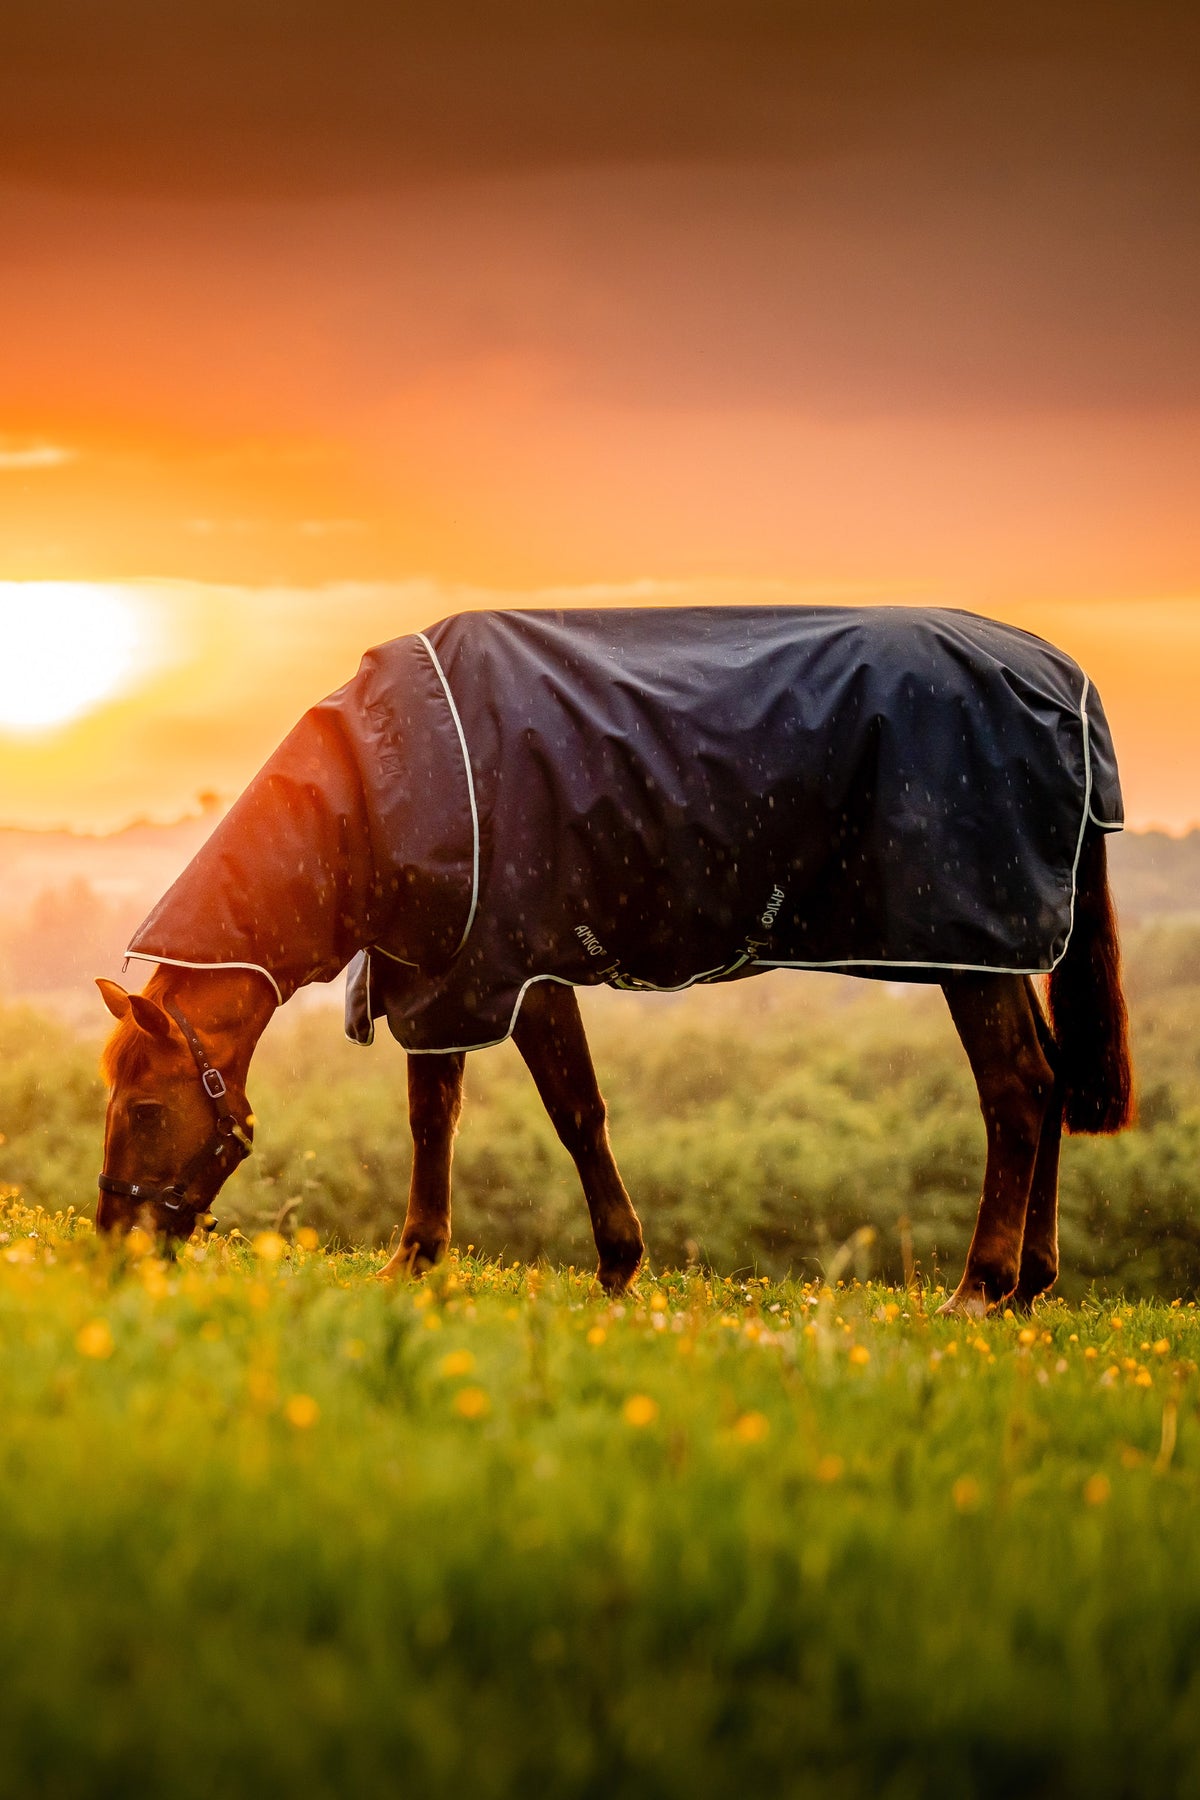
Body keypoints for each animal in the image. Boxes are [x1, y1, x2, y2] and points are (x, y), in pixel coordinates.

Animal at [96, 605, 1134, 1316]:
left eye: (143, 1109)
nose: (113, 1245)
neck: (378, 784)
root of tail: (1066, 681)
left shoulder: (516, 968)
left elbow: (575, 1112)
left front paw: (618, 1265)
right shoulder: (444, 976)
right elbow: (433, 1119)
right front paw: (415, 1261)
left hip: (971, 948)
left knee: (1015, 1087)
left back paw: (980, 1287)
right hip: (998, 954)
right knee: (1048, 1076)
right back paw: (1028, 1287)